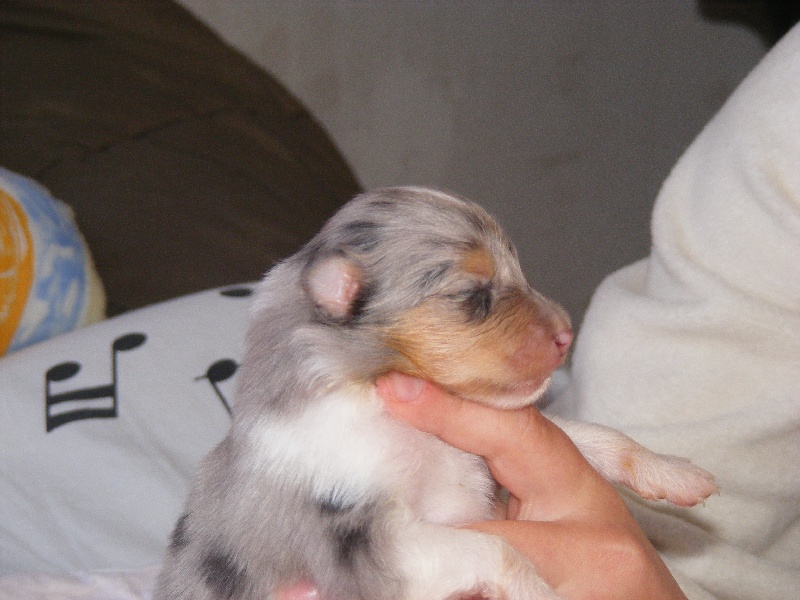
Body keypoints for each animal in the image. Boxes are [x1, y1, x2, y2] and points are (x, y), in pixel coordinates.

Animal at [154, 187, 717, 600]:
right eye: (473, 296)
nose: (566, 334)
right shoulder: (364, 544)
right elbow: (499, 550)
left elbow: (587, 435)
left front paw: (675, 472)